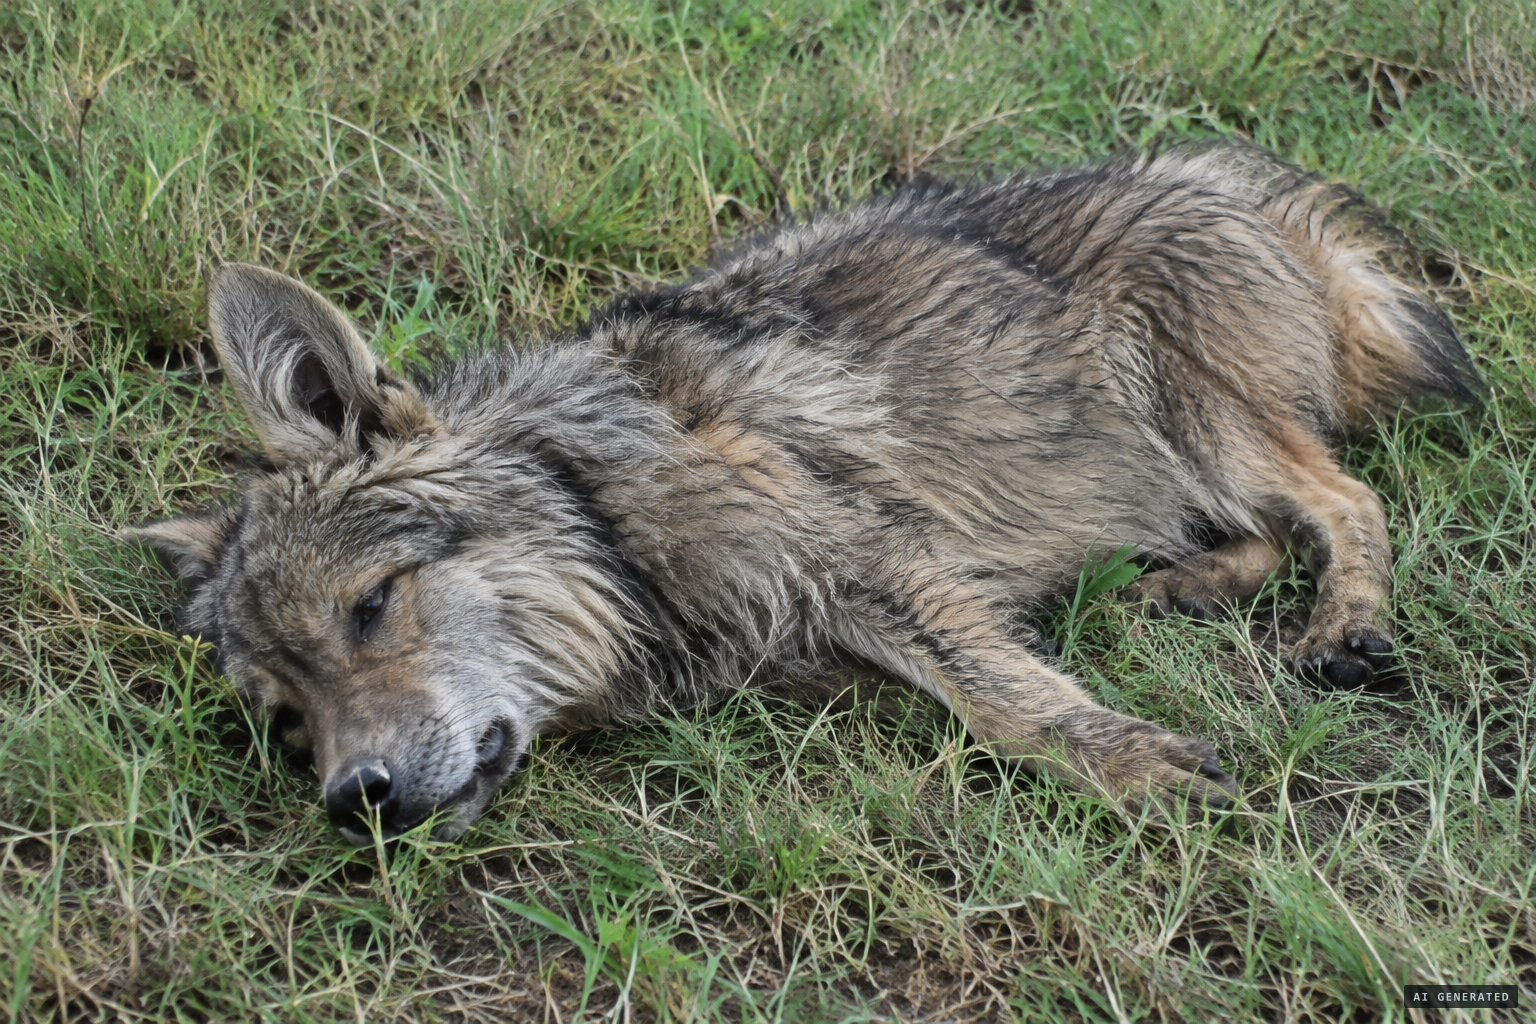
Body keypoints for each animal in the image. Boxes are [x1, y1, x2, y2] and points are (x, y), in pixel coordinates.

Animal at [124, 143, 1479, 843]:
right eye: (285, 721)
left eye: (370, 607)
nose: (354, 802)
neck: (605, 517)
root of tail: (1251, 193)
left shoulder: (872, 560)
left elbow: (1004, 702)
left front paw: (1129, 761)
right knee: (1265, 532)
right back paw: (1167, 585)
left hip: (1203, 421)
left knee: (1345, 503)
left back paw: (1347, 620)